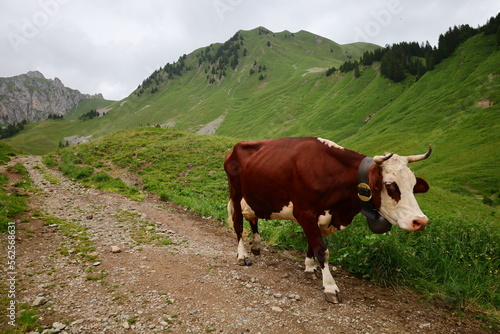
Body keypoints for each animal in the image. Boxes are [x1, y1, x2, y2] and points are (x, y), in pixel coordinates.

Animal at [223, 136, 430, 302]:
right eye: (390, 185)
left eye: (413, 185)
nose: (420, 221)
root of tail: (236, 147)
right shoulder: (305, 213)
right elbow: (322, 250)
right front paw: (330, 287)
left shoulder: (318, 217)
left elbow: (311, 244)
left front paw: (309, 268)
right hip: (236, 192)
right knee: (238, 223)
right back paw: (242, 255)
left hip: (254, 195)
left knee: (253, 217)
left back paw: (257, 246)